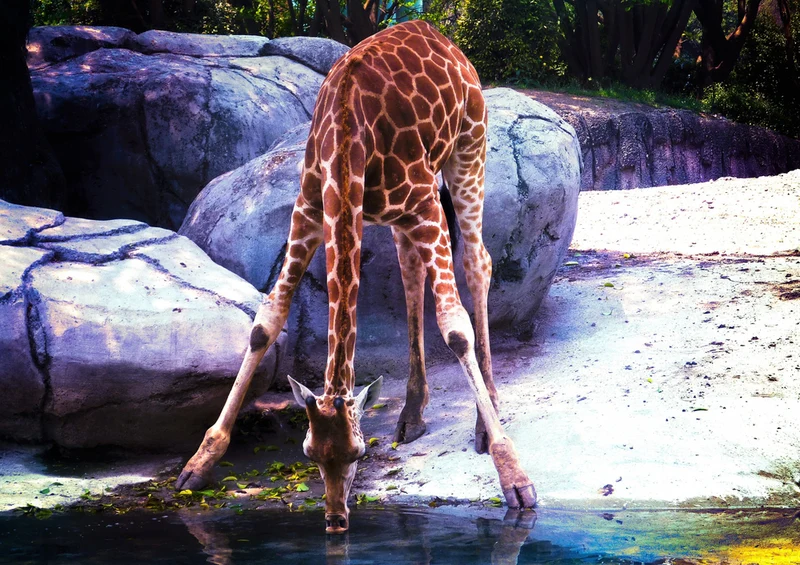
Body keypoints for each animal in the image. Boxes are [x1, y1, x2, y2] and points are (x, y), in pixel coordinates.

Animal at [176, 19, 536, 533]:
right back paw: (411, 414)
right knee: (410, 270)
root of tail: (437, 33)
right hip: (400, 214)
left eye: (358, 453)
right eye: (310, 453)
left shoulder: (426, 204)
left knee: (477, 261)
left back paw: (483, 426)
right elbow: (266, 321)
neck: (346, 138)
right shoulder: (309, 209)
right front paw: (199, 462)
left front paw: (514, 476)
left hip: (469, 148)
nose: (335, 519)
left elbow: (456, 329)